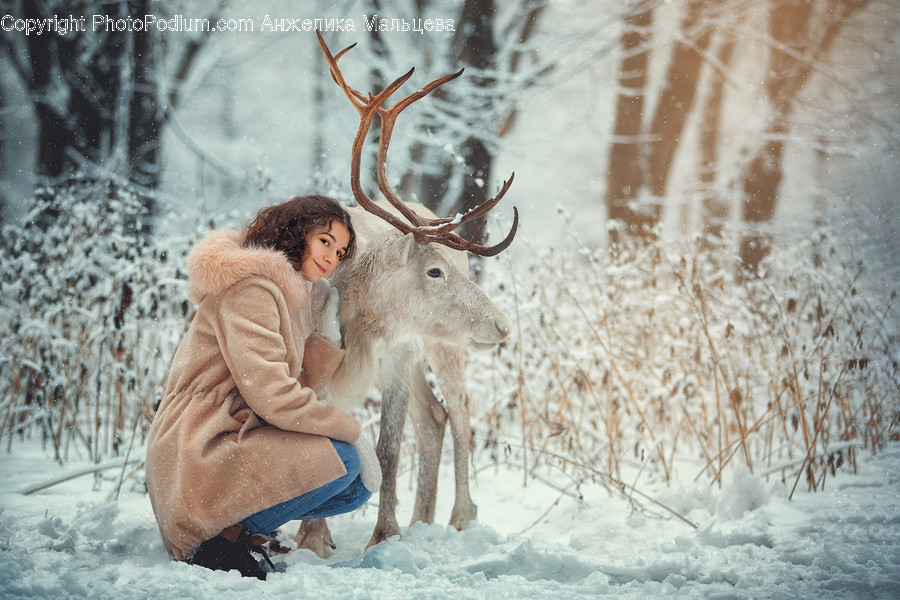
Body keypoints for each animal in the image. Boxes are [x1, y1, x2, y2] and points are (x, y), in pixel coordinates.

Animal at [293, 31, 518, 556]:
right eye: (433, 271)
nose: (501, 325)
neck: (360, 316)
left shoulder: (395, 356)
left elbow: (388, 448)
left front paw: (384, 536)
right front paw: (313, 538)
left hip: (442, 346)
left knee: (458, 411)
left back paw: (458, 516)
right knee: (433, 417)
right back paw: (423, 519)